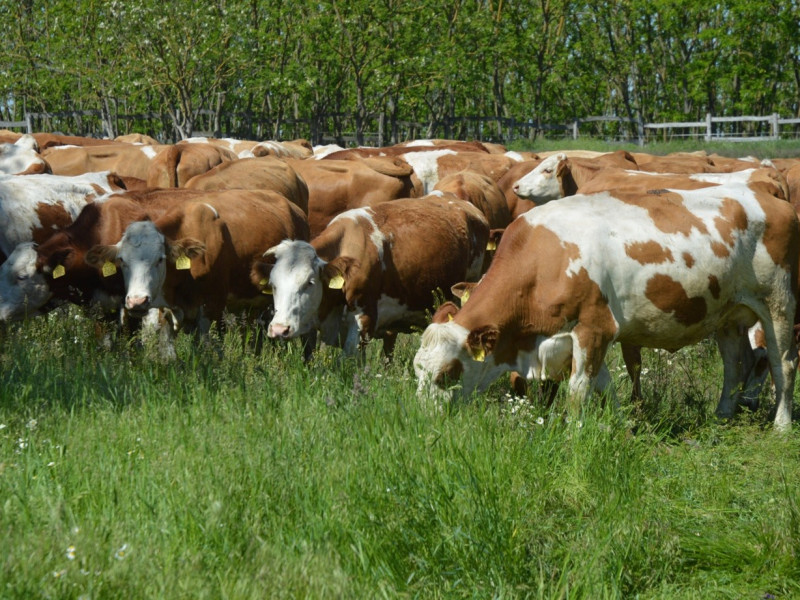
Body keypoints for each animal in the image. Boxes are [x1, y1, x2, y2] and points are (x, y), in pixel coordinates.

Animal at [416, 184, 796, 432]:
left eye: (446, 374)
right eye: (417, 372)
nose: (423, 421)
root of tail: (775, 201)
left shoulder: (594, 328)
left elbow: (578, 390)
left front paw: (574, 434)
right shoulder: (580, 338)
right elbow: (605, 386)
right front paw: (622, 426)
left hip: (778, 303)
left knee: (783, 364)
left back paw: (782, 426)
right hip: (728, 314)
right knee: (736, 363)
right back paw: (722, 416)